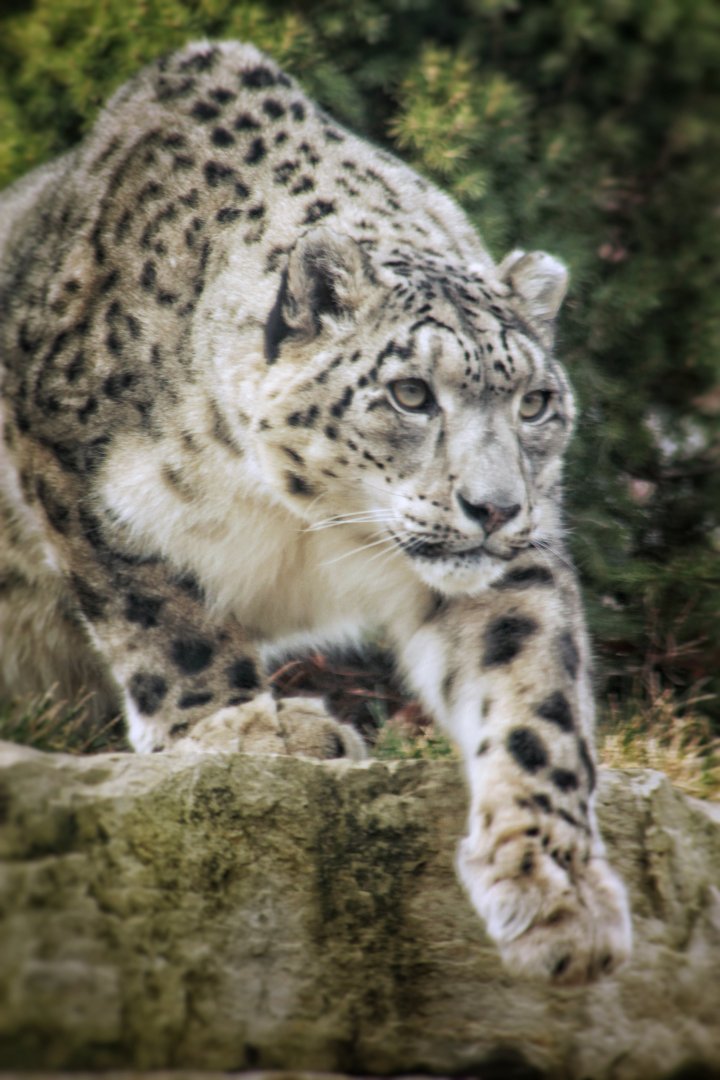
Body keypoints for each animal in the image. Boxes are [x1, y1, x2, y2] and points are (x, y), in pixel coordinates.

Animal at [0, 40, 632, 984]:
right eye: (411, 393)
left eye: (535, 402)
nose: (493, 506)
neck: (306, 520)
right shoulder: (63, 453)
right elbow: (158, 613)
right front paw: (247, 731)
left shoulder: (516, 560)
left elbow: (533, 693)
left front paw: (555, 887)